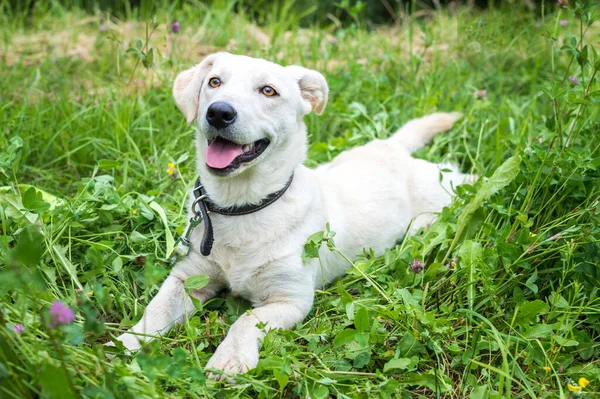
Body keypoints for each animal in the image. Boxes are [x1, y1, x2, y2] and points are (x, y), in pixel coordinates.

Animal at [113, 52, 474, 378]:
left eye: (268, 90)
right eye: (214, 82)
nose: (219, 112)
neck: (243, 207)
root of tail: (391, 146)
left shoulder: (290, 300)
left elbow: (245, 321)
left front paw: (230, 359)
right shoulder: (188, 277)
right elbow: (157, 310)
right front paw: (126, 342)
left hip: (441, 189)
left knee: (466, 183)